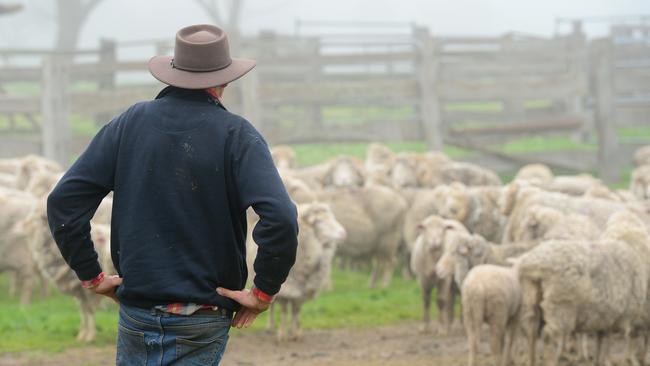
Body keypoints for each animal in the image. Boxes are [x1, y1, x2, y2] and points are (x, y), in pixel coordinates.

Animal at [512, 212, 648, 366]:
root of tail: (534, 265)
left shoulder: (605, 318)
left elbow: (601, 341)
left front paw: (599, 360)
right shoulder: (614, 317)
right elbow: (606, 343)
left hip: (530, 301)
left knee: (531, 333)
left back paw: (531, 360)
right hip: (559, 307)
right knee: (549, 337)